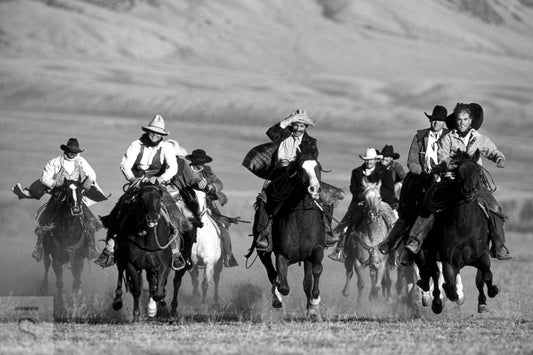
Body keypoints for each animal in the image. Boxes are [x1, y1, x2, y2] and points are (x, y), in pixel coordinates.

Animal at [110, 182, 172, 324]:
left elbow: (158, 292)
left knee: (151, 282)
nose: (152, 218)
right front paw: (136, 316)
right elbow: (136, 290)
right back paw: (117, 301)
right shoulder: (130, 264)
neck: (147, 240)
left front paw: (152, 309)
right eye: (142, 199)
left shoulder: (164, 264)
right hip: (122, 259)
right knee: (121, 275)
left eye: (159, 198)